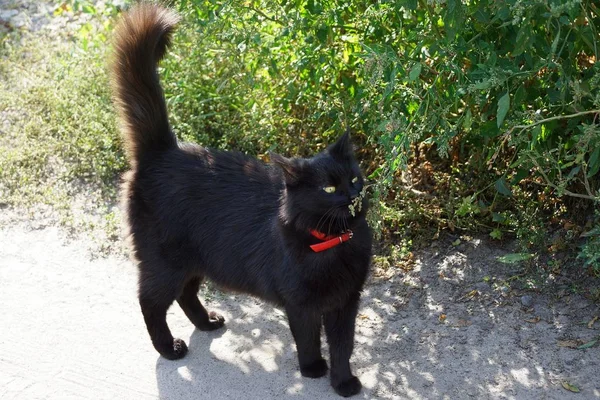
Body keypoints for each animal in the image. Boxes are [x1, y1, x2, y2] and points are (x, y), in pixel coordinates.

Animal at [109, 3, 370, 396]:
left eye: (354, 178)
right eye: (328, 189)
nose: (353, 195)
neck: (332, 244)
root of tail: (164, 150)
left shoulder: (346, 302)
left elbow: (344, 346)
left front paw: (343, 382)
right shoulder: (301, 303)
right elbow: (308, 338)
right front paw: (312, 369)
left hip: (198, 259)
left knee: (185, 294)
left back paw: (207, 323)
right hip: (164, 260)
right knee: (150, 301)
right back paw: (169, 348)